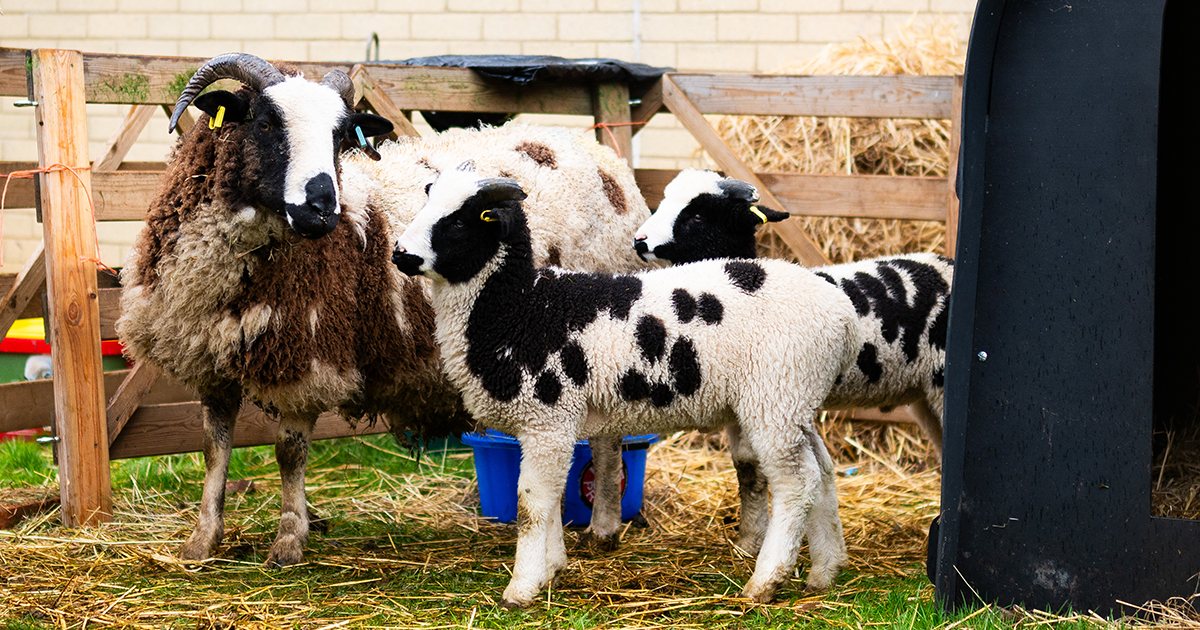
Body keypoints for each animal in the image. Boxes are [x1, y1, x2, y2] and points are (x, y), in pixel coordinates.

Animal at [117, 53, 651, 568]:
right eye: (266, 122)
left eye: (339, 136)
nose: (322, 208)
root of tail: (607, 162)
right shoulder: (210, 359)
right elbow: (215, 450)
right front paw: (202, 541)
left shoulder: (309, 357)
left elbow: (289, 453)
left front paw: (289, 541)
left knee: (609, 439)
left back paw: (603, 527)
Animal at [392, 166, 860, 606]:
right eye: (427, 201)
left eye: (458, 221)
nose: (400, 254)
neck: (522, 308)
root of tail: (842, 313)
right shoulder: (551, 428)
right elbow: (552, 499)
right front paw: (552, 570)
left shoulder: (546, 419)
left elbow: (531, 504)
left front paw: (522, 587)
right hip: (795, 402)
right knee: (823, 473)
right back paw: (825, 570)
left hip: (774, 399)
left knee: (797, 483)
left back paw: (766, 582)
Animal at [631, 169, 953, 553]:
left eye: (696, 216)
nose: (639, 240)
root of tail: (948, 263)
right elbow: (746, 467)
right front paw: (749, 540)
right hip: (925, 394)